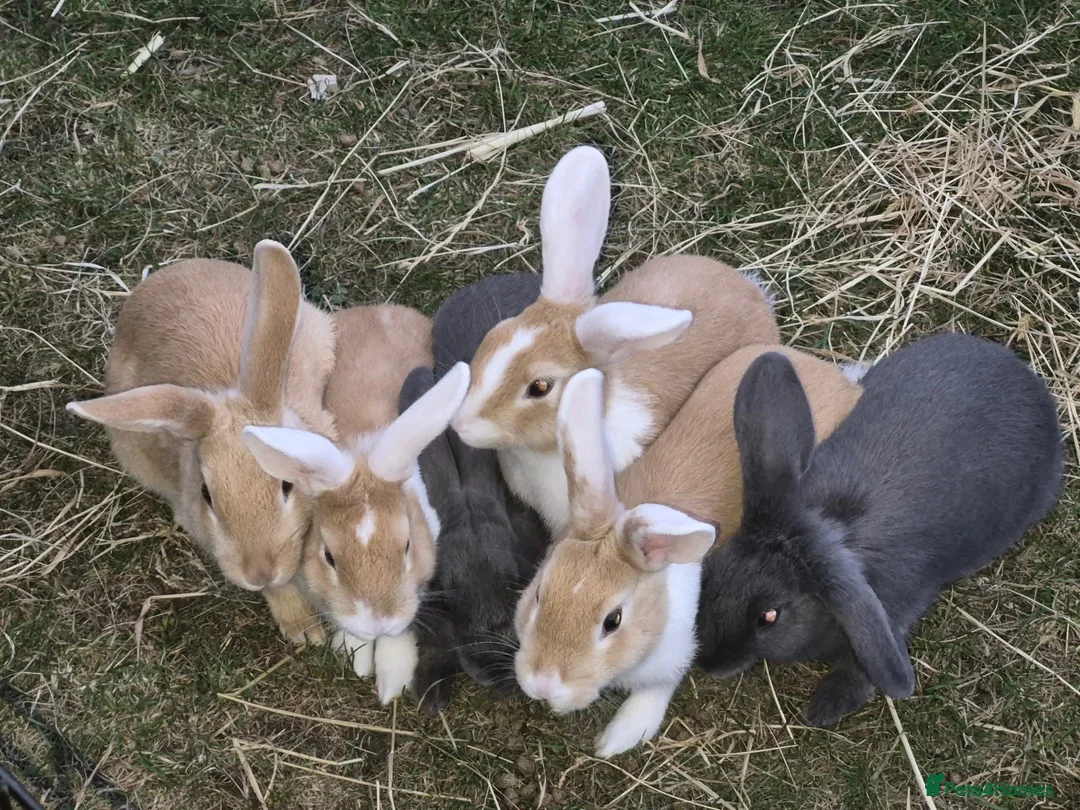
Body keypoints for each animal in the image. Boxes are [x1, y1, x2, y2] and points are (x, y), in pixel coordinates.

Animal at [241, 304, 472, 704]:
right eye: (328, 556)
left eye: (407, 546)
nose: (377, 622)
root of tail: (378, 308)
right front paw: (356, 655)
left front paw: (392, 680)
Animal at [514, 344, 864, 758]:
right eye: (539, 594)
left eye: (612, 621)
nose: (544, 686)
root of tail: (839, 379)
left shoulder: (675, 655)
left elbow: (656, 690)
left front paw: (618, 737)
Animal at [696, 334, 1064, 728]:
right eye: (713, 571)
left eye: (769, 617)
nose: (709, 664)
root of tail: (1027, 378)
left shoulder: (890, 614)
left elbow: (860, 671)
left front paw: (824, 709)